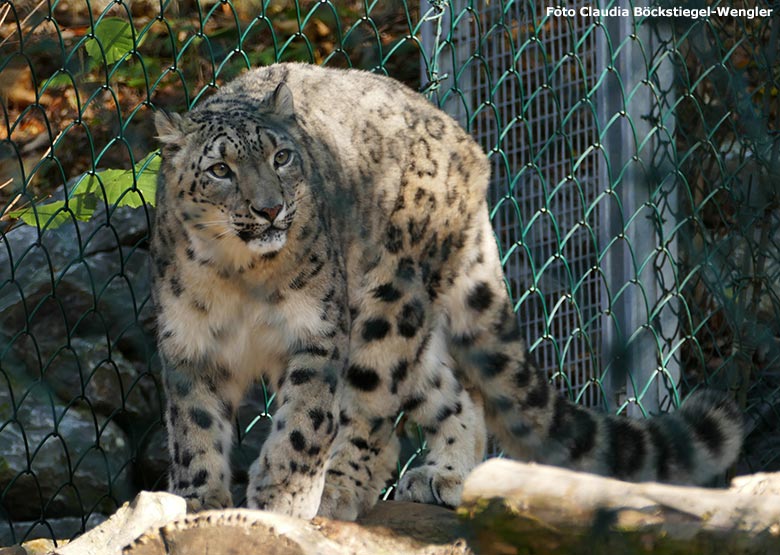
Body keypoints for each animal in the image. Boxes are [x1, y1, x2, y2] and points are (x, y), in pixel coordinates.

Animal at [149, 62, 740, 520]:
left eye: (281, 158)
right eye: (220, 169)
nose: (271, 209)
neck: (240, 276)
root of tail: (466, 143)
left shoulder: (315, 333)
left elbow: (305, 420)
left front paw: (281, 497)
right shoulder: (190, 346)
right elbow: (194, 428)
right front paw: (197, 503)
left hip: (388, 305)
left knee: (373, 409)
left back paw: (344, 489)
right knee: (453, 392)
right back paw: (445, 476)